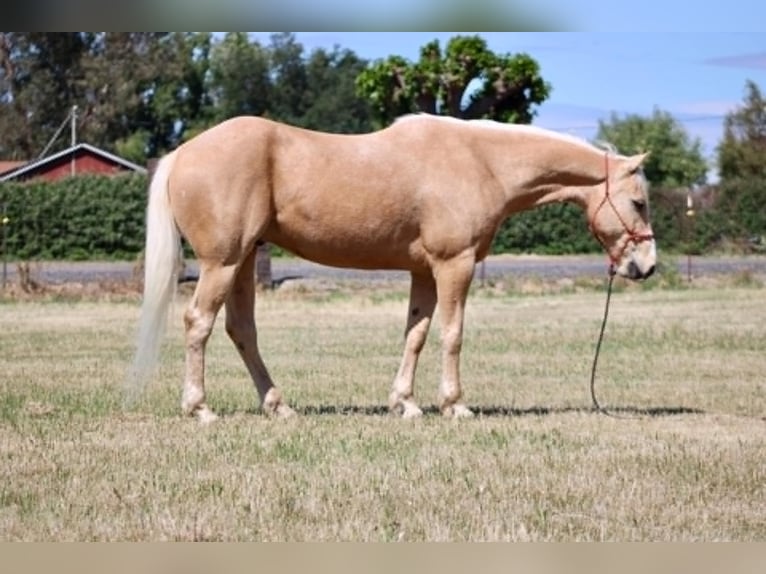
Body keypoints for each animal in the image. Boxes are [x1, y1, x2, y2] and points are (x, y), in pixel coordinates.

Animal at [128, 114, 655, 423]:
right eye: (639, 202)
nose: (647, 266)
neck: (479, 160)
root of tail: (184, 153)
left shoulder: (424, 271)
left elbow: (415, 335)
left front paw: (406, 403)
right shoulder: (454, 265)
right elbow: (452, 334)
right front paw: (455, 405)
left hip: (241, 264)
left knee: (242, 331)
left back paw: (279, 406)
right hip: (222, 263)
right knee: (199, 323)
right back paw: (200, 408)